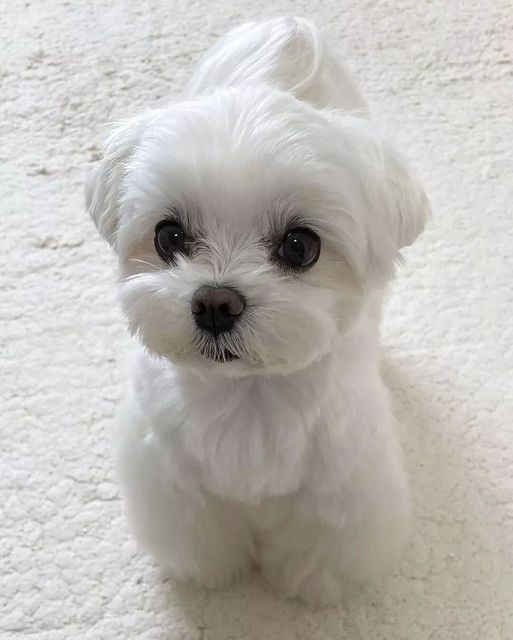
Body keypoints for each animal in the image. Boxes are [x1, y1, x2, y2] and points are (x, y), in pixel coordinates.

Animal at [85, 16, 428, 604]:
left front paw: (309, 585)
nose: (214, 302)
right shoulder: (172, 480)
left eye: (300, 246)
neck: (248, 392)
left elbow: (319, 542)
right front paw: (209, 571)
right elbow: (200, 530)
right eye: (169, 236)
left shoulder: (339, 487)